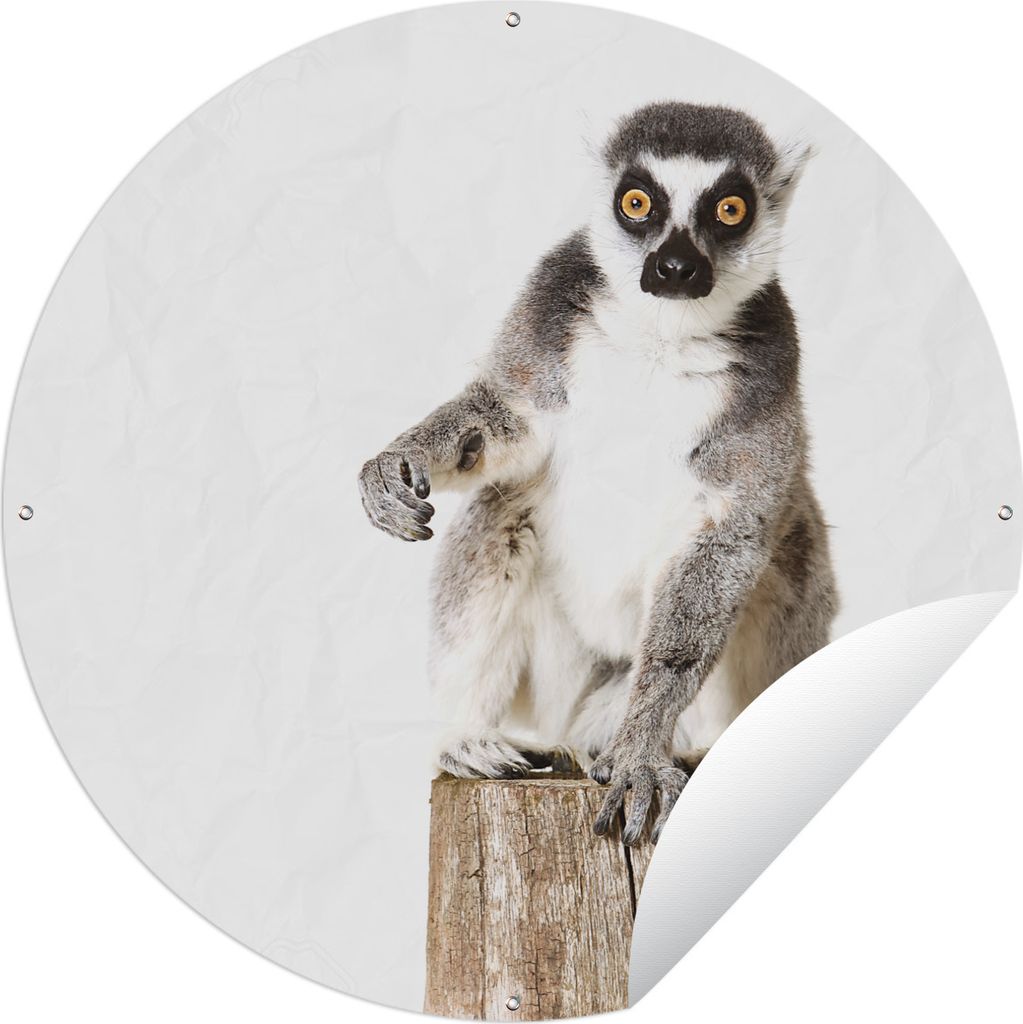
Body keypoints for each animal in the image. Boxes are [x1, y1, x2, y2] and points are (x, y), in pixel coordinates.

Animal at [358, 102, 838, 845]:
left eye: (730, 209)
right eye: (636, 203)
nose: (674, 266)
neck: (661, 333)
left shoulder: (768, 381)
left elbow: (727, 541)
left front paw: (640, 757)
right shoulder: (547, 315)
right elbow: (505, 423)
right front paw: (397, 463)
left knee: (787, 555)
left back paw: (688, 750)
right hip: (559, 674)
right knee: (501, 512)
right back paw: (469, 736)